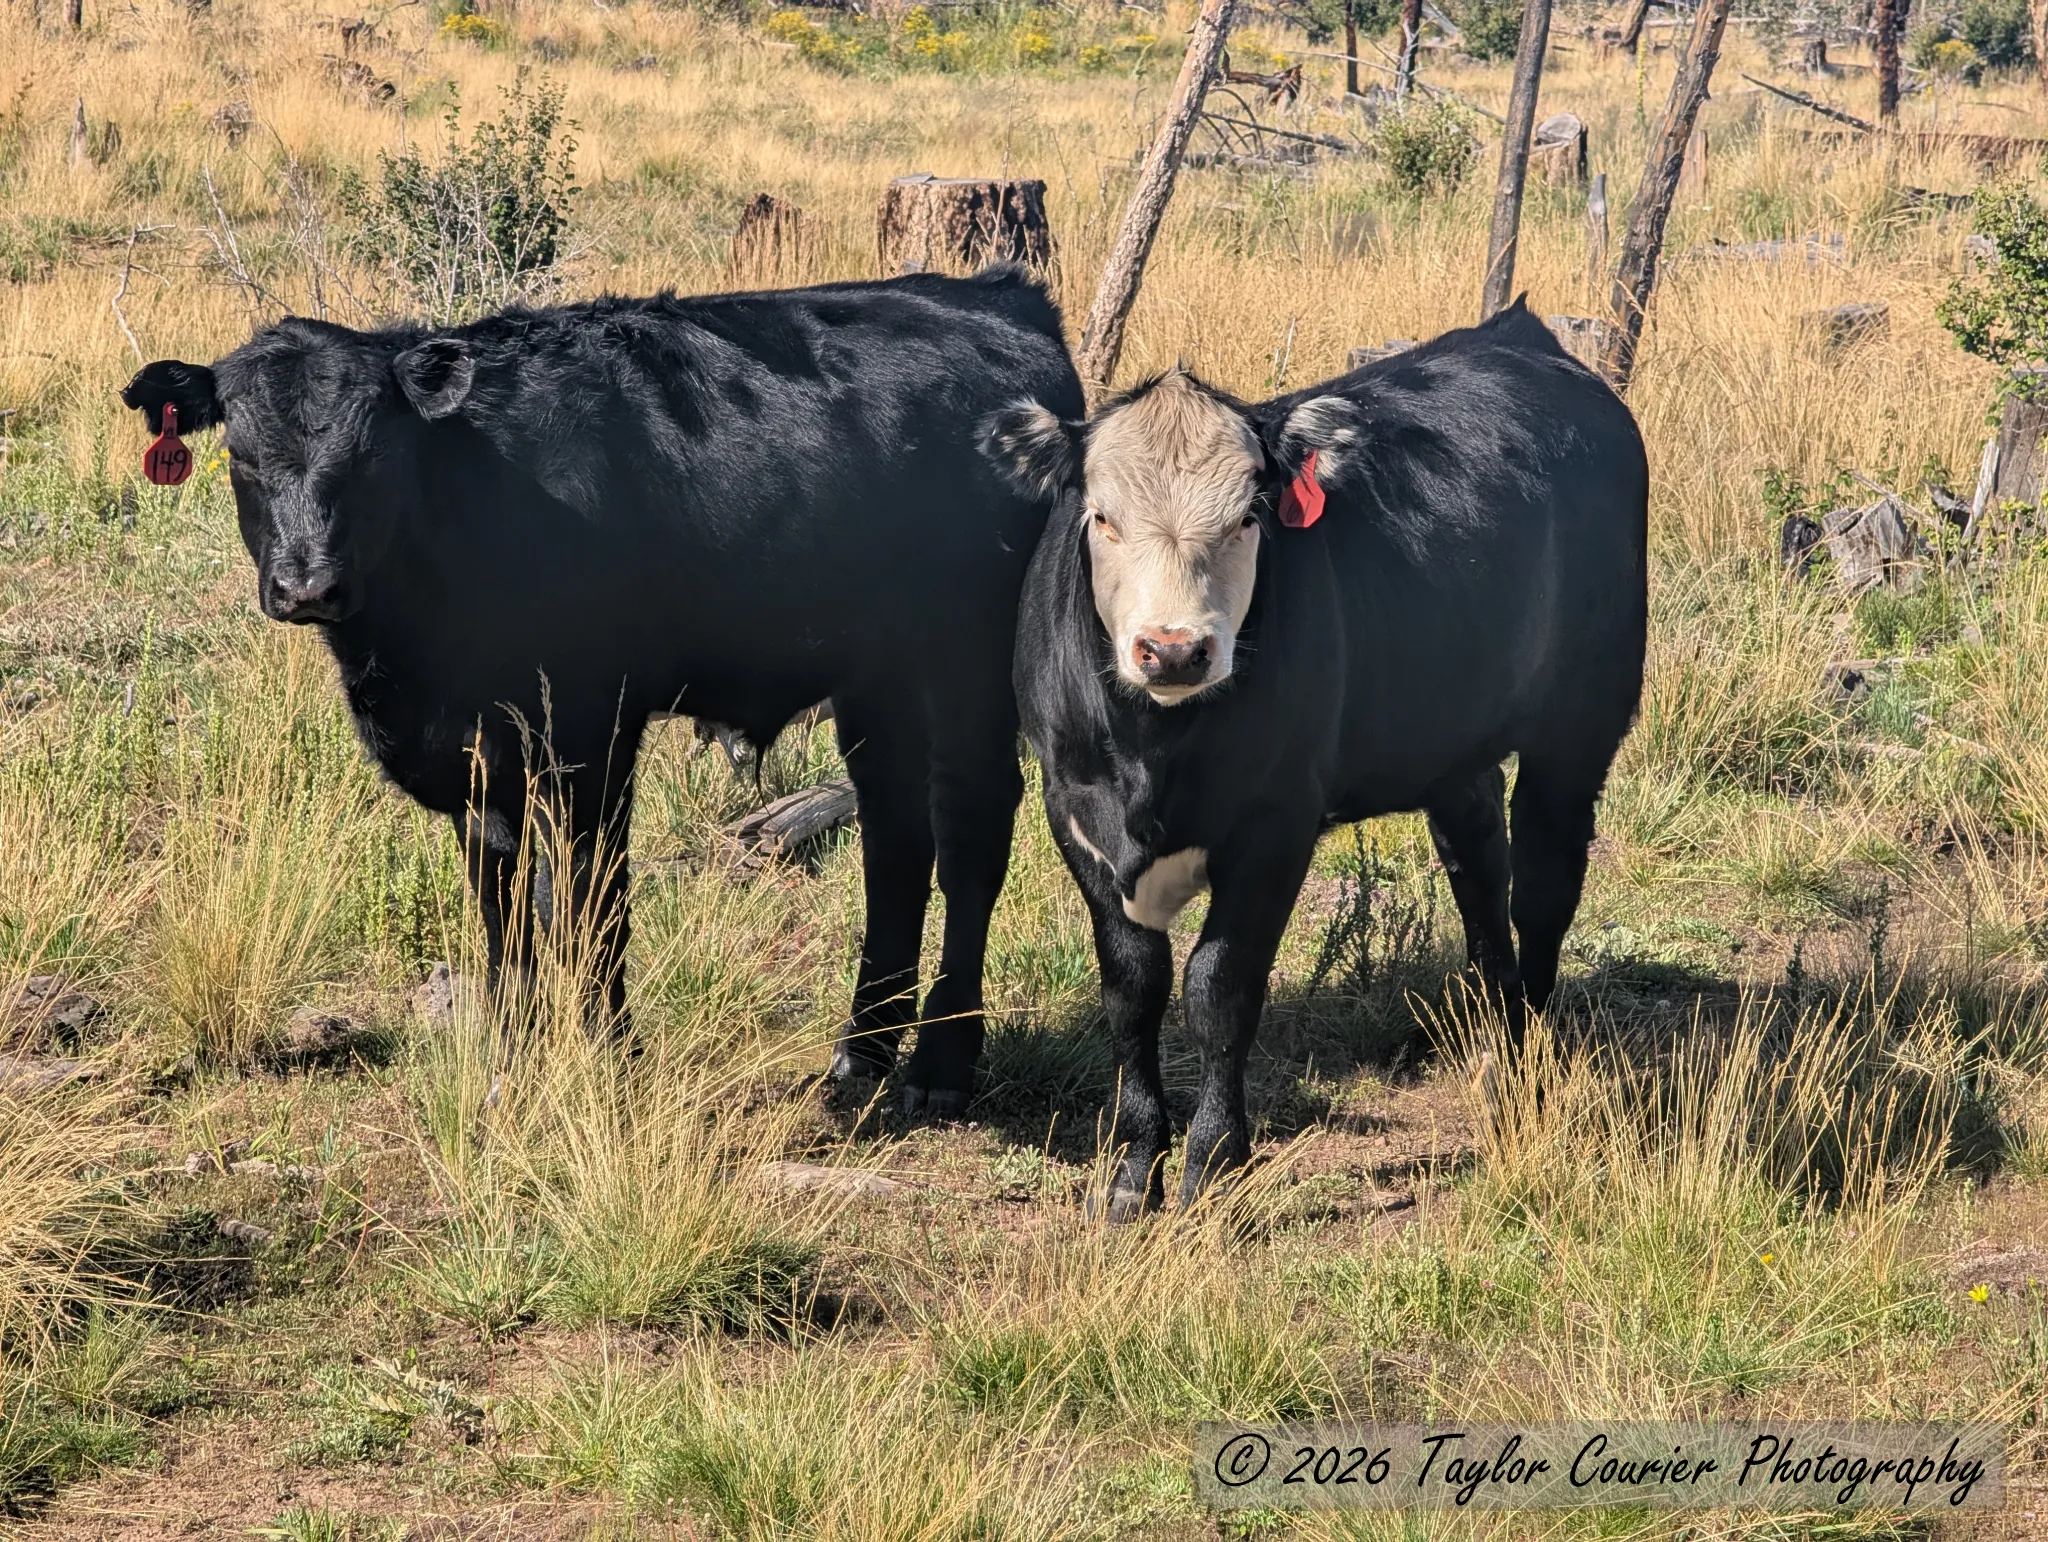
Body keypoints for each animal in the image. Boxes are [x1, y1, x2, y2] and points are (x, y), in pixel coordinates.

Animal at [122, 267, 1084, 1113]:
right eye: (242, 457)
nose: (308, 585)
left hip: (966, 663)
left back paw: (940, 1067)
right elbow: (505, 916)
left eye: (370, 455)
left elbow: (590, 902)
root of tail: (999, 296)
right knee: (894, 836)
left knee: (972, 832)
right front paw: (512, 1070)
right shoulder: (479, 757)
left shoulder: (592, 725)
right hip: (877, 674)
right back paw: (860, 1059)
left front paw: (606, 1062)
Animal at [980, 300, 1648, 1217]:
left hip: (1580, 723)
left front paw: (1212, 1162)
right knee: (1480, 869)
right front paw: (1133, 1165)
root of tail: (1520, 336)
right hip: (1450, 737)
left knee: (1545, 888)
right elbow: (1131, 989)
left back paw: (1525, 1068)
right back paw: (1492, 1032)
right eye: (1102, 517)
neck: (1153, 752)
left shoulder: (1276, 821)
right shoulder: (1072, 810)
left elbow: (1218, 989)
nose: (1174, 650)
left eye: (1249, 517)